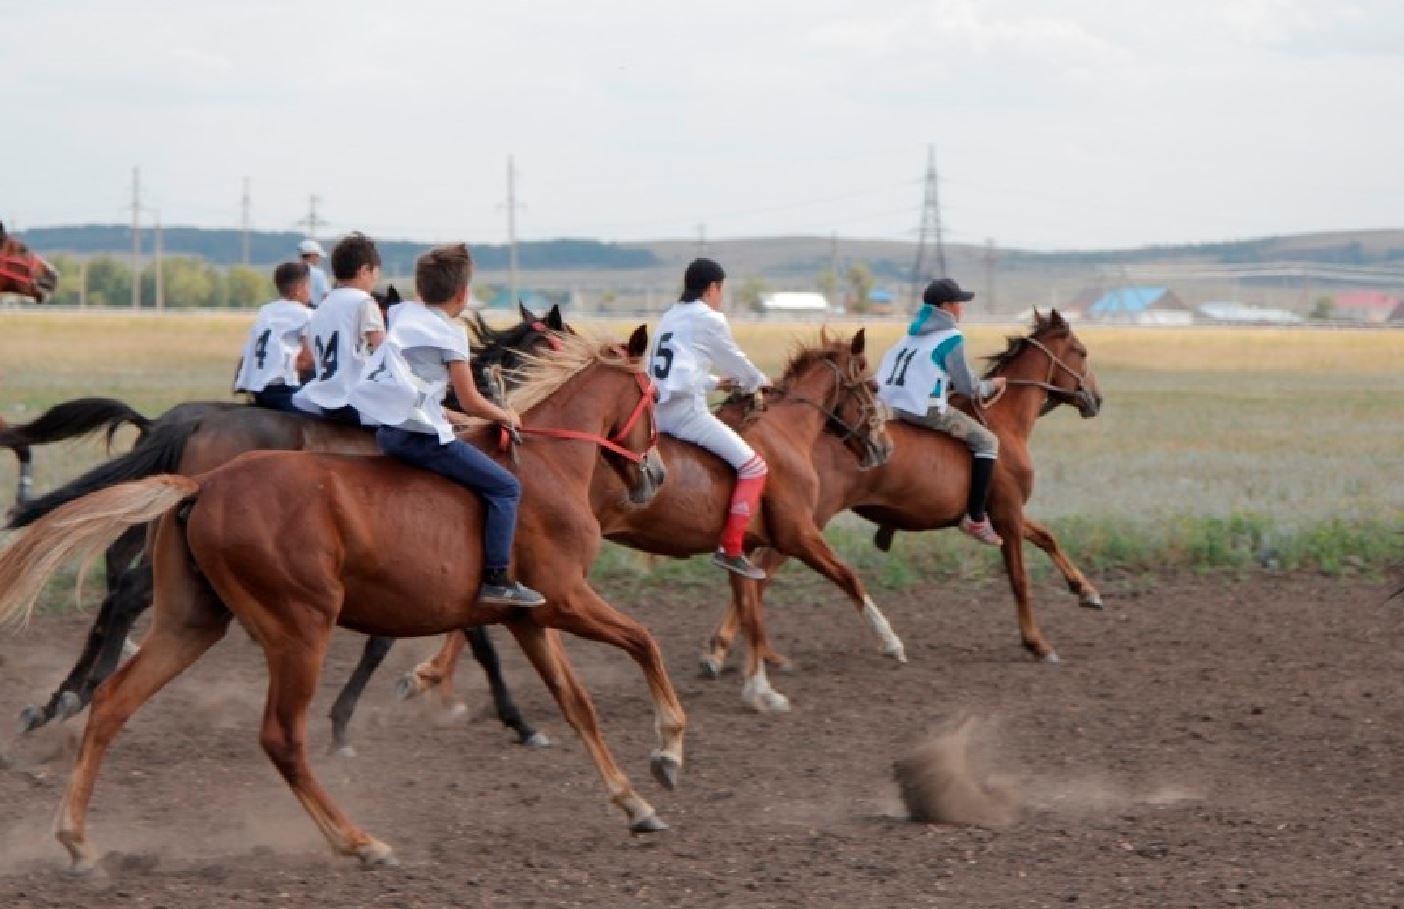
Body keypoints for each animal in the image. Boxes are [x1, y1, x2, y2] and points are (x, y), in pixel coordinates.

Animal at [6, 306, 564, 747]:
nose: (513, 420)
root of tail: (182, 422)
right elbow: (475, 642)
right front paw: (518, 721)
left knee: (119, 592)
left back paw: (59, 700)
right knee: (125, 594)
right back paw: (78, 694)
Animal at [395, 330, 898, 713]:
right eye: (873, 387)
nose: (884, 447)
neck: (783, 432)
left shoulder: (740, 550)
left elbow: (750, 606)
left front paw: (754, 684)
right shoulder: (799, 535)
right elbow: (847, 578)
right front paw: (889, 640)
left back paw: (431, 674)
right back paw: (431, 674)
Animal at [707, 309, 1100, 708]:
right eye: (1081, 352)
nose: (1095, 398)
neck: (1004, 421)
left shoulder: (1007, 515)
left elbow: (1048, 537)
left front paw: (1086, 592)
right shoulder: (1007, 513)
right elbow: (1019, 579)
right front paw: (1038, 644)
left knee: (753, 576)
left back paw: (740, 653)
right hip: (804, 525)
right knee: (761, 576)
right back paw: (741, 653)